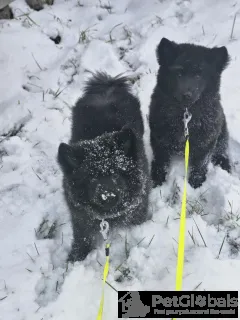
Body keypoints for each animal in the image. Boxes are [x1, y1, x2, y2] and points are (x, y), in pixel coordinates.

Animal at [57, 72, 151, 262]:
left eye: (116, 173)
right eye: (91, 178)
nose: (108, 196)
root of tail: (108, 85)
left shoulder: (138, 209)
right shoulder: (80, 218)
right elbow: (82, 237)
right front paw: (76, 257)